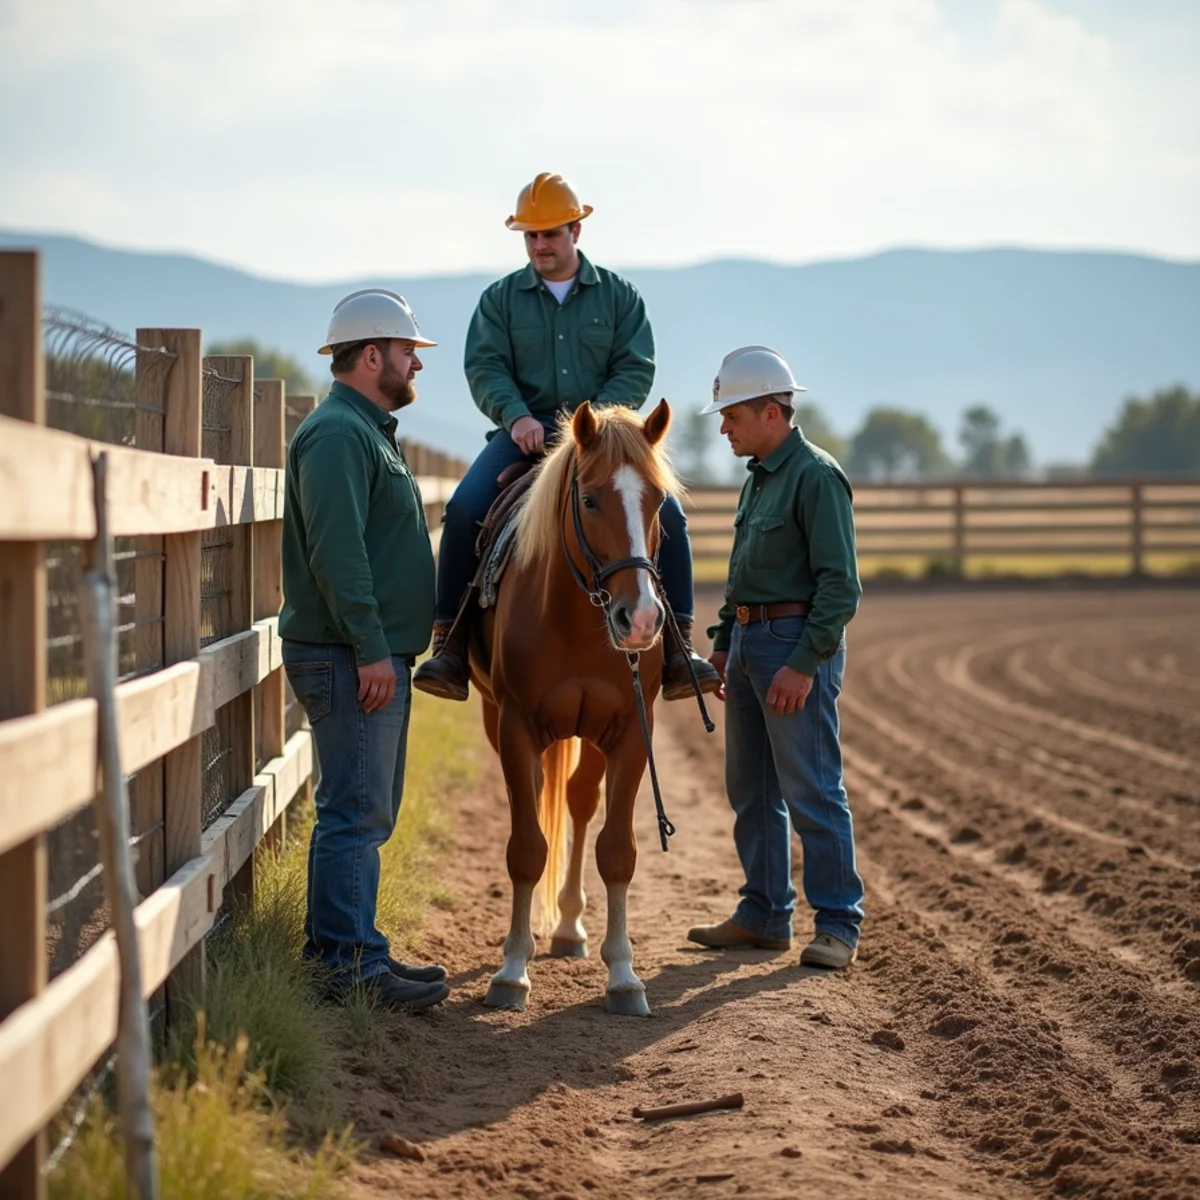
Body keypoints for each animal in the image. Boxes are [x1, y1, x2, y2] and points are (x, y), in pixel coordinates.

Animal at [469, 398, 678, 1016]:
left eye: (658, 501)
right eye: (589, 499)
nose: (641, 621)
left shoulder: (632, 731)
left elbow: (617, 850)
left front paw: (625, 977)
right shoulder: (515, 726)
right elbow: (526, 848)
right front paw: (512, 971)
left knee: (580, 801)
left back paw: (568, 927)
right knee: (544, 798)